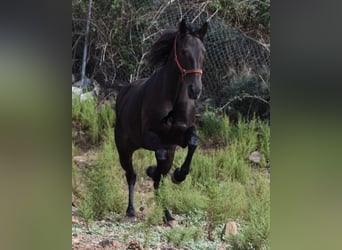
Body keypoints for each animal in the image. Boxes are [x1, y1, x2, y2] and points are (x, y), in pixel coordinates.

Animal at [114, 20, 208, 223]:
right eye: (184, 51)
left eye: (203, 52)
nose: (195, 90)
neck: (173, 99)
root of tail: (124, 92)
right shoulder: (150, 137)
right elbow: (160, 156)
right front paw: (153, 170)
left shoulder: (180, 137)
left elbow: (193, 143)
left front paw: (178, 175)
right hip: (125, 149)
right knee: (131, 175)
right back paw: (131, 210)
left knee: (159, 179)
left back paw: (168, 214)